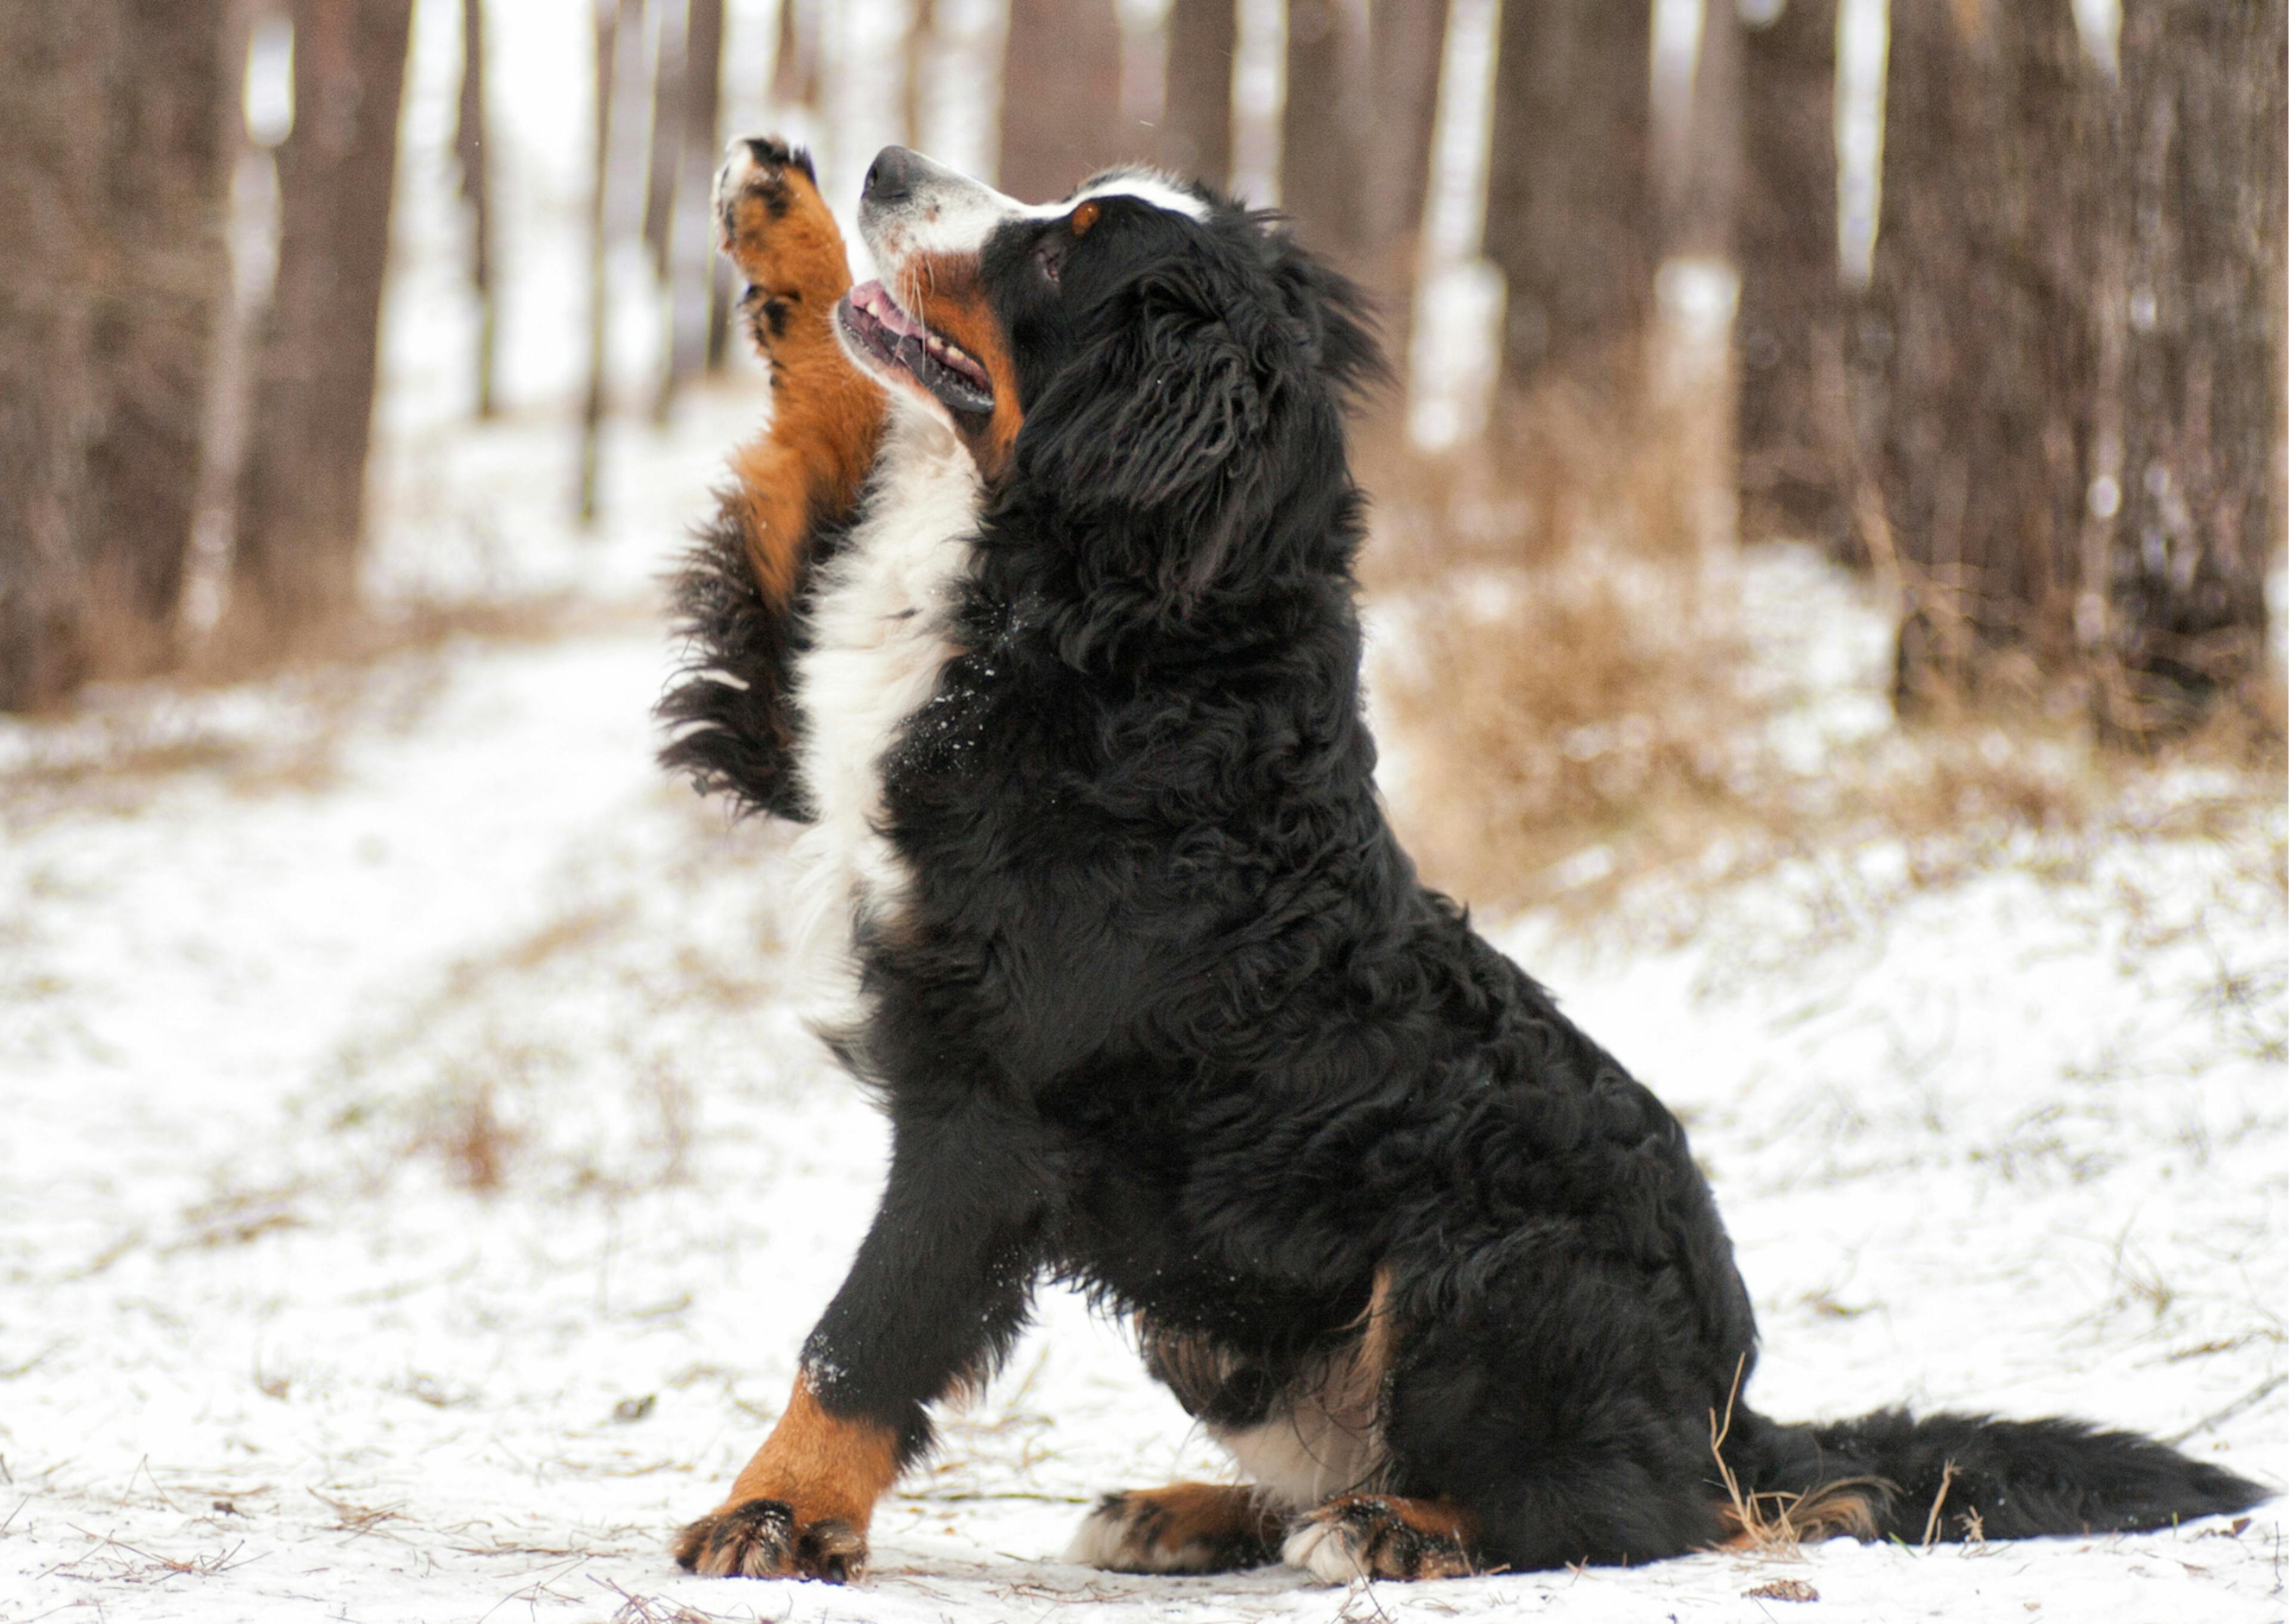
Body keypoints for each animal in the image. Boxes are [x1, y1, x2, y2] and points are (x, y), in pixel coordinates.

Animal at [655, 139, 2262, 1585]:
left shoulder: (992, 1107)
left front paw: (775, 1514)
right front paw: (784, 227)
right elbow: (814, 457)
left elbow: (863, 1335)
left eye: (1061, 249)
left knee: (1629, 1507)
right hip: (1229, 1329)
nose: (883, 160)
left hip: (1486, 1260)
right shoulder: (802, 730)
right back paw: (1199, 1511)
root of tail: (1730, 1410)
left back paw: (1390, 1531)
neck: (1128, 617)